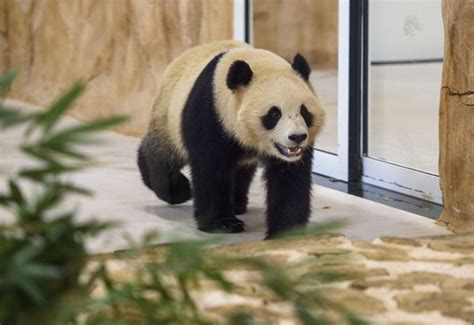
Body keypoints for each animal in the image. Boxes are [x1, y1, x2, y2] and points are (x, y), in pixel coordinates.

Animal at [135, 40, 324, 238]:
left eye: (304, 111)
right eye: (274, 113)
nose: (297, 137)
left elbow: (289, 180)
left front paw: (288, 231)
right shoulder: (211, 112)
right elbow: (211, 169)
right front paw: (223, 224)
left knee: (240, 171)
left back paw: (237, 203)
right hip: (169, 113)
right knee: (162, 155)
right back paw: (177, 190)